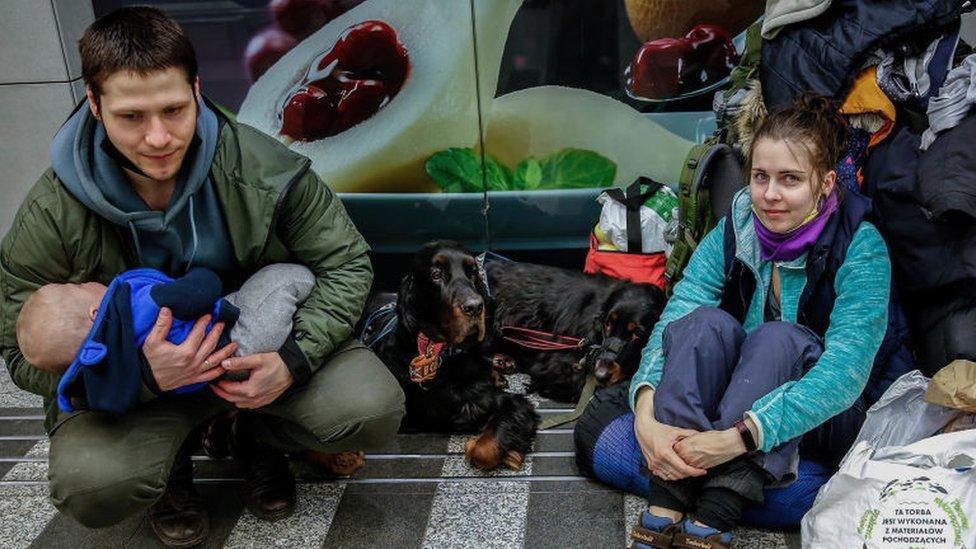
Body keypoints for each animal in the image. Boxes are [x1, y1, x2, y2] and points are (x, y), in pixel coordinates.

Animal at [362, 242, 536, 468]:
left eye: (472, 272)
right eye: (436, 274)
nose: (475, 307)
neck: (444, 357)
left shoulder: (511, 404)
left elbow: (482, 452)